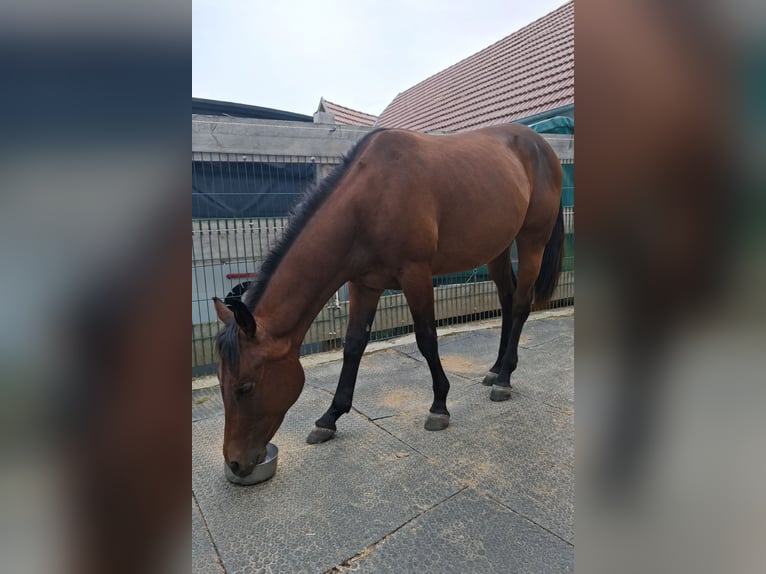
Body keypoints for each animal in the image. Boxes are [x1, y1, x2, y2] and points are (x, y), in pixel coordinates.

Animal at [213, 124, 564, 478]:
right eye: (221, 382)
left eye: (245, 387)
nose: (235, 463)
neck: (371, 200)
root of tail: (541, 145)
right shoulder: (364, 285)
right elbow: (354, 344)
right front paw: (330, 418)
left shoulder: (416, 274)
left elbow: (426, 339)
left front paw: (439, 407)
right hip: (498, 248)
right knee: (507, 300)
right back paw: (495, 368)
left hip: (532, 240)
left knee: (520, 305)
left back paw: (504, 379)